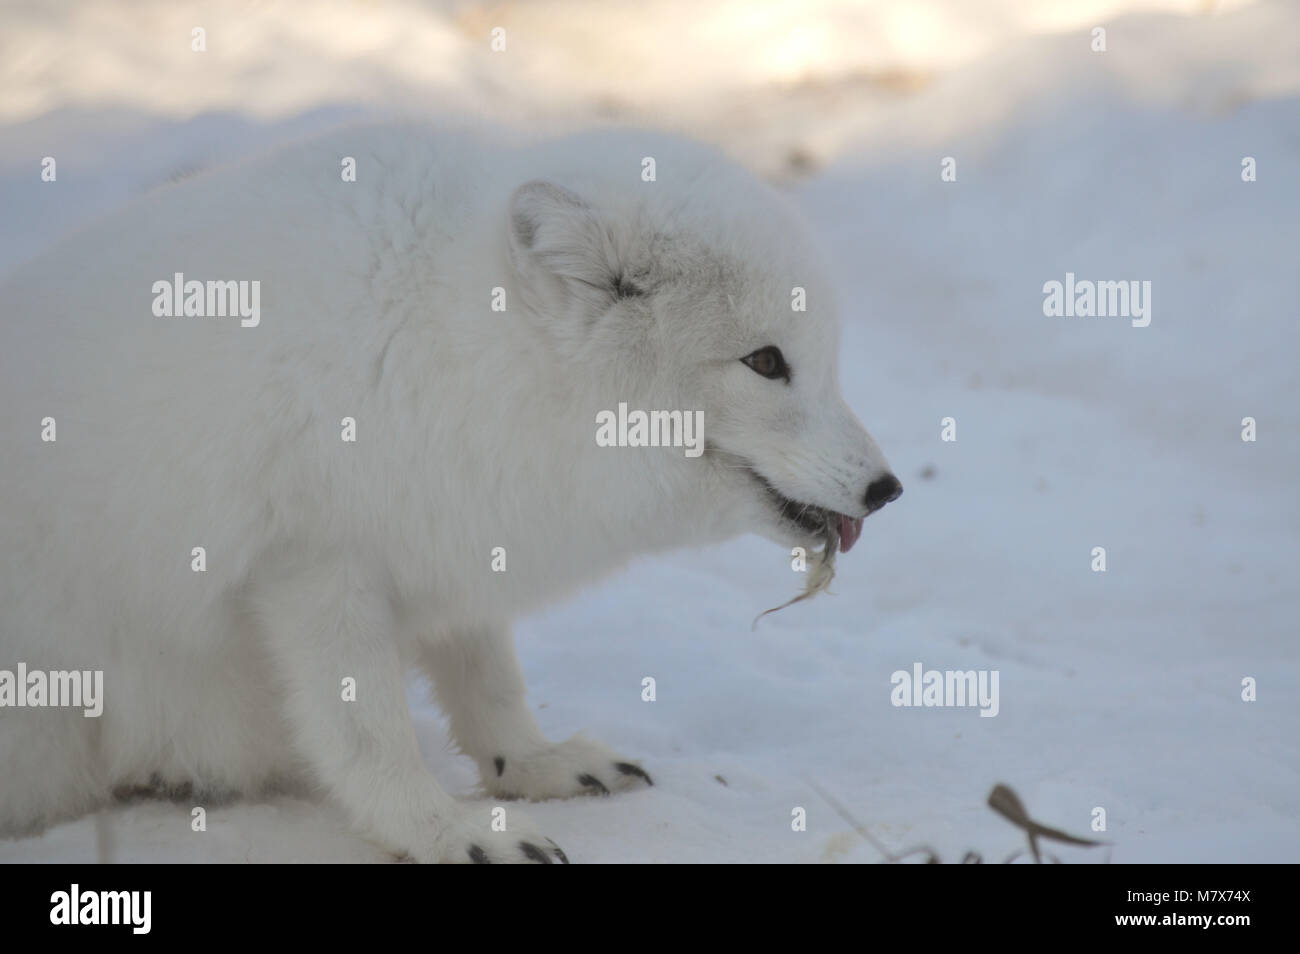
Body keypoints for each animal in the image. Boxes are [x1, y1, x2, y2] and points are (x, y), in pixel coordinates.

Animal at [0, 123, 899, 863]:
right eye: (765, 362)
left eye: (822, 358)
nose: (886, 488)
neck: (454, 346)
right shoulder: (314, 570)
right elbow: (368, 736)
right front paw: (443, 831)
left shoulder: (457, 537)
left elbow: (490, 681)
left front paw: (532, 764)